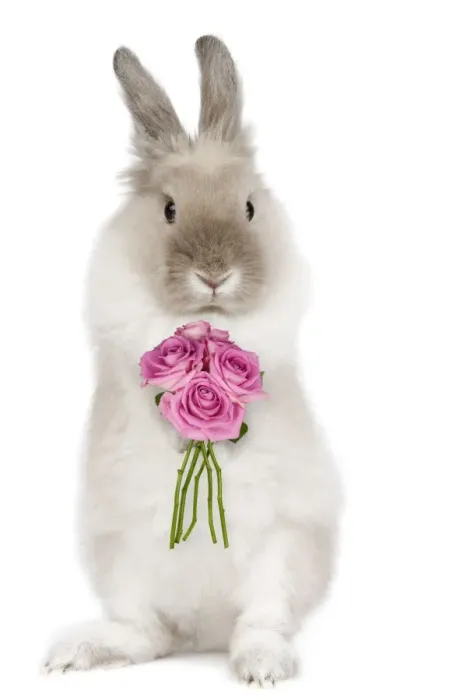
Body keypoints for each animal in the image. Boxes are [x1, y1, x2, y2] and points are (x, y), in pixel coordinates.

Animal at [42, 35, 342, 686]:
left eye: (249, 207)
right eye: (170, 210)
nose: (214, 272)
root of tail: (203, 630)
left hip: (279, 554)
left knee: (257, 623)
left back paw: (262, 666)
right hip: (125, 561)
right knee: (145, 634)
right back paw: (80, 652)